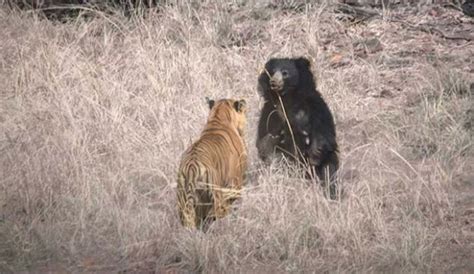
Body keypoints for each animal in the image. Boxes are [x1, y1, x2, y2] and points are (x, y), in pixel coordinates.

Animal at [175, 97, 248, 230]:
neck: (218, 117)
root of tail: (192, 167)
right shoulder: (236, 185)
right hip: (216, 197)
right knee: (215, 215)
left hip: (183, 202)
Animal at [256, 56, 340, 198]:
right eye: (272, 72)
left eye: (285, 73)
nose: (273, 82)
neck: (286, 98)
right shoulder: (270, 112)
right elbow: (263, 141)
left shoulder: (315, 106)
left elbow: (324, 134)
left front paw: (313, 155)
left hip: (328, 161)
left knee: (328, 172)